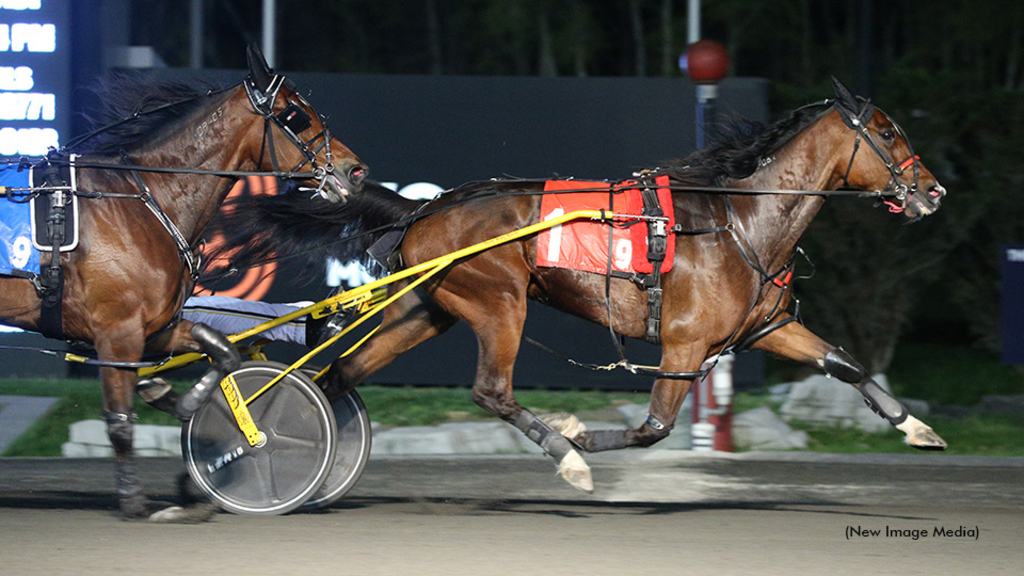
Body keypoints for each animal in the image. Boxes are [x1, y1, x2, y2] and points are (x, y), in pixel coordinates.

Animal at [0, 45, 368, 520]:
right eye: (295, 115)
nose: (355, 171)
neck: (138, 201)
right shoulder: (117, 331)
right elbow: (120, 421)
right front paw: (135, 501)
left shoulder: (153, 326)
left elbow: (221, 349)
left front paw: (183, 402)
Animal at [220, 76, 946, 487]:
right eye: (887, 132)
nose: (933, 190)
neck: (740, 222)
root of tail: (425, 208)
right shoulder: (684, 345)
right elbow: (652, 429)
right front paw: (579, 438)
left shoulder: (767, 326)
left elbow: (846, 364)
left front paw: (918, 428)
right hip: (500, 303)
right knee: (490, 390)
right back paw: (563, 454)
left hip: (430, 307)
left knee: (340, 374)